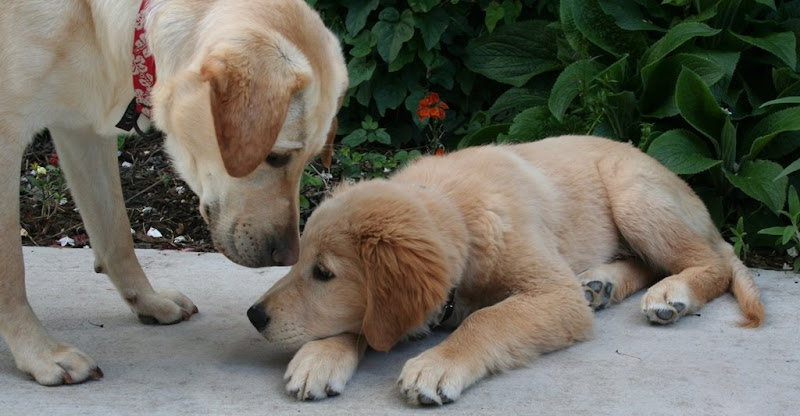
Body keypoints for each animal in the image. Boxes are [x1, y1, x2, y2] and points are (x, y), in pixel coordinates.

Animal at [3, 0, 346, 384]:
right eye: (275, 156)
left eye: (309, 160)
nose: (288, 257)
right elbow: (11, 270)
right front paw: (41, 354)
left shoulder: (81, 129)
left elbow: (117, 236)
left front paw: (148, 301)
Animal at [248, 135, 764, 404]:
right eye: (302, 263)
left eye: (324, 274)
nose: (255, 316)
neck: (457, 210)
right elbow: (362, 321)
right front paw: (320, 356)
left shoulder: (553, 293)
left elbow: (487, 319)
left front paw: (438, 363)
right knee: (644, 262)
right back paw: (600, 283)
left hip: (637, 198)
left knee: (713, 261)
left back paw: (672, 295)